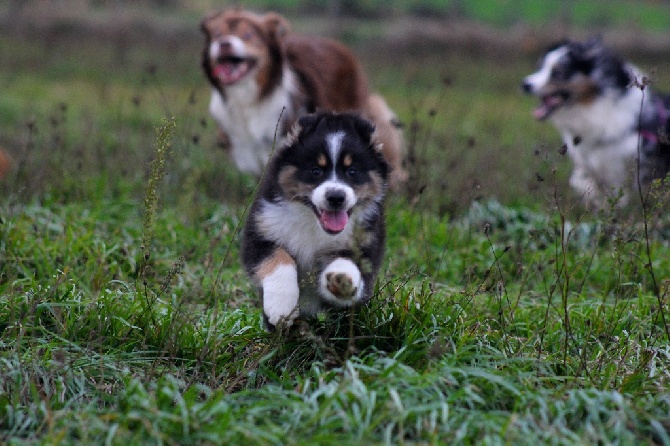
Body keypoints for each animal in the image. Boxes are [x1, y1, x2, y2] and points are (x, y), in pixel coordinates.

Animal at [242, 111, 388, 330]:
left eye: (352, 171)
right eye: (316, 171)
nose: (336, 197)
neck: (312, 223)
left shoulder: (366, 242)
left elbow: (348, 262)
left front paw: (341, 280)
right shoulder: (261, 231)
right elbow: (278, 260)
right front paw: (281, 308)